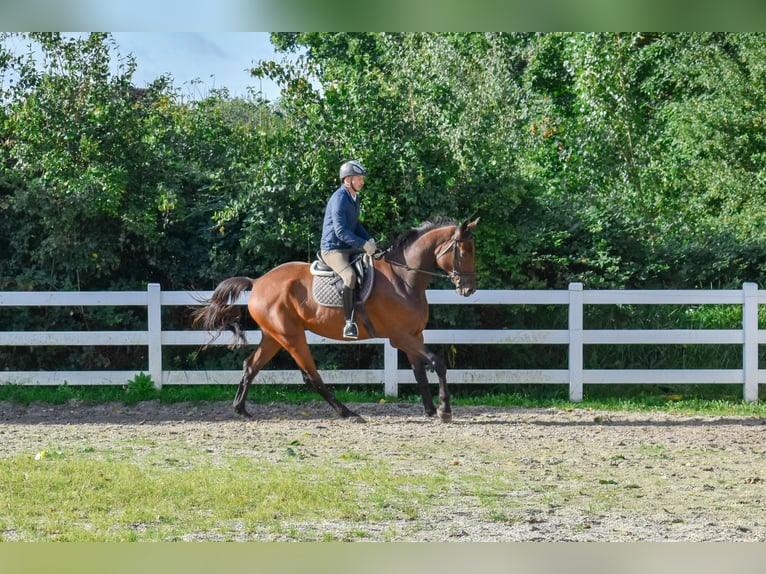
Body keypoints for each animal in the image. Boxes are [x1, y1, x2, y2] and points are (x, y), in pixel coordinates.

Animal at [192, 217, 479, 423]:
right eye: (464, 252)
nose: (469, 289)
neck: (403, 279)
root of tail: (259, 281)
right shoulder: (400, 337)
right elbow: (438, 363)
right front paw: (444, 409)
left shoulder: (414, 335)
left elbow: (419, 370)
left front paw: (430, 409)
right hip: (291, 337)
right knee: (311, 376)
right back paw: (347, 413)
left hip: (273, 336)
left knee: (251, 365)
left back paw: (241, 409)